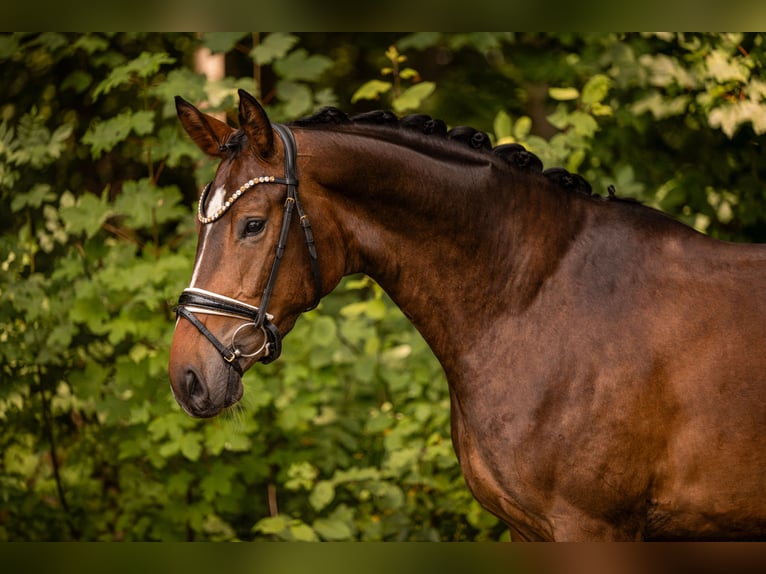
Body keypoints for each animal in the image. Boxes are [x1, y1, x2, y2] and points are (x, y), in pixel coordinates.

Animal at [169, 89, 766, 541]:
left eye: (251, 224)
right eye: (200, 223)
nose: (187, 377)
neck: (533, 301)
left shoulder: (594, 526)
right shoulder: (528, 529)